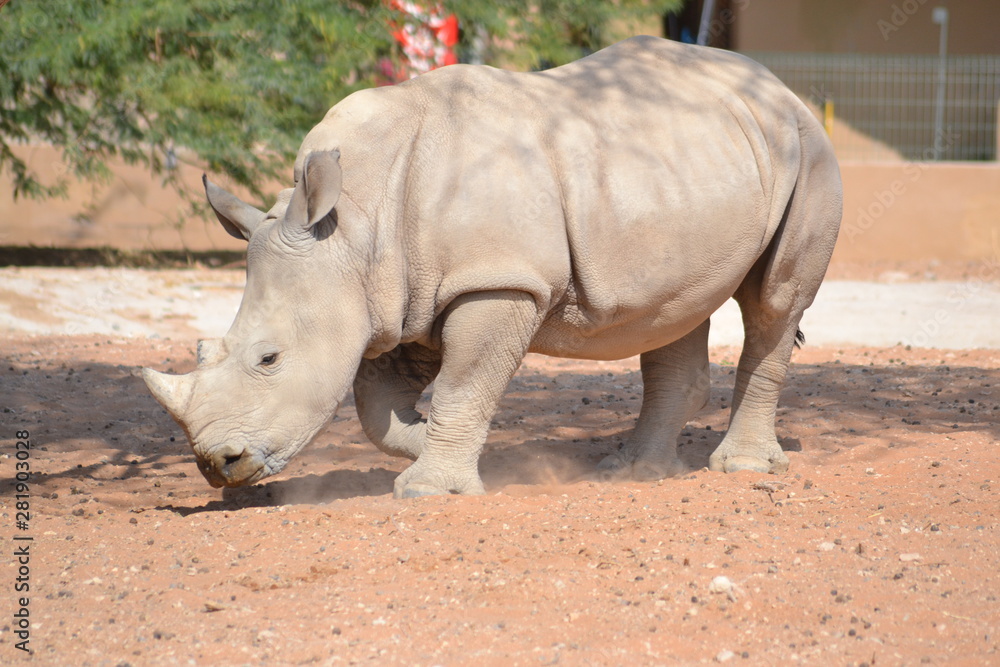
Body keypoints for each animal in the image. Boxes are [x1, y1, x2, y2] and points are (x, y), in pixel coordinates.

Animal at [143, 36, 842, 498]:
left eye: (269, 358)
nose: (216, 464)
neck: (353, 227)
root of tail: (780, 86)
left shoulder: (496, 281)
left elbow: (463, 383)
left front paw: (429, 490)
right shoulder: (402, 294)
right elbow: (377, 406)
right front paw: (443, 448)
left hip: (808, 150)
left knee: (774, 302)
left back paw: (740, 470)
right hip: (689, 169)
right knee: (673, 310)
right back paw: (634, 472)